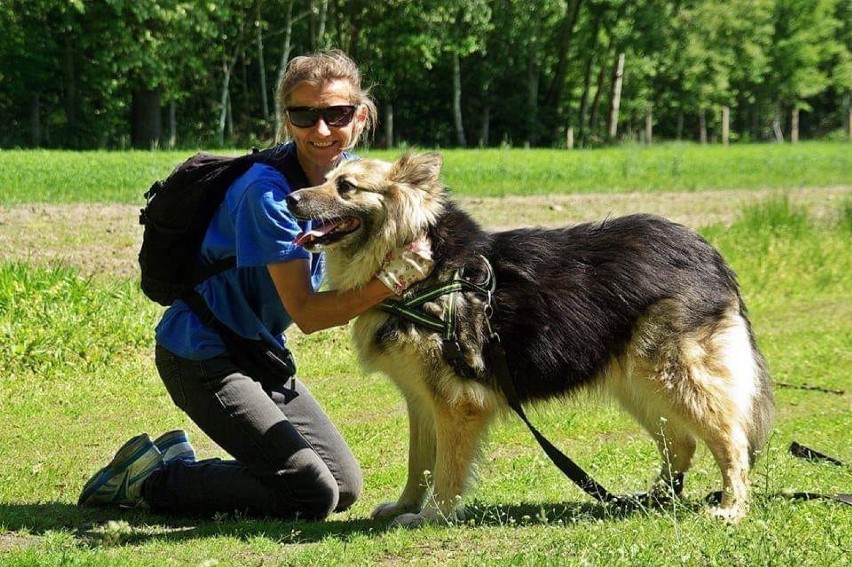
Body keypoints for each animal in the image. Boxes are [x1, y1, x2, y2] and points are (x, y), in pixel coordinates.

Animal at [286, 152, 772, 528]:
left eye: (346, 186)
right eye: (325, 178)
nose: (290, 199)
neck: (425, 270)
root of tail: (706, 250)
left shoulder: (455, 403)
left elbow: (445, 469)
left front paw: (433, 516)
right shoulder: (421, 400)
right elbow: (418, 463)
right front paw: (405, 506)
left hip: (674, 378)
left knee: (731, 442)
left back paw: (731, 508)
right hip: (637, 382)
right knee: (681, 443)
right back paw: (652, 499)